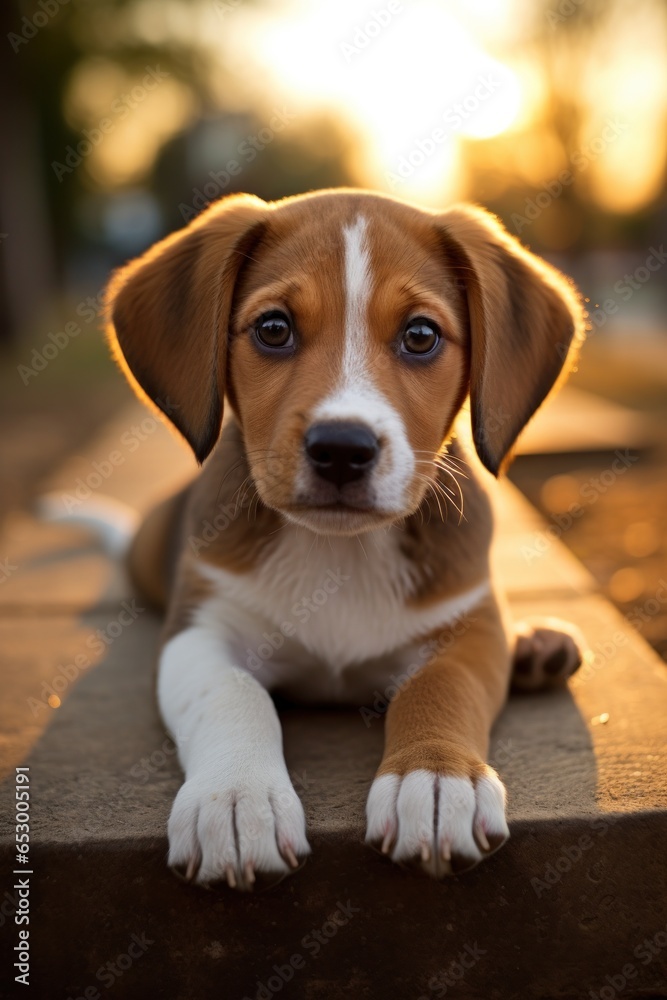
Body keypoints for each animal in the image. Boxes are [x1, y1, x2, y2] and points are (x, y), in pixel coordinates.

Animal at [104, 188, 584, 892]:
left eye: (421, 336)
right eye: (274, 329)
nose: (341, 448)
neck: (341, 552)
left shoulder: (464, 628)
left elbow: (438, 689)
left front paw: (435, 779)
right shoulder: (199, 631)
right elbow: (234, 694)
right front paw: (237, 797)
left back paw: (535, 646)